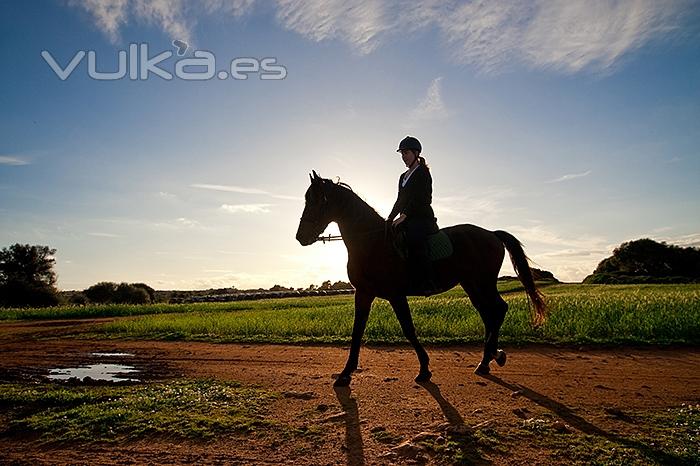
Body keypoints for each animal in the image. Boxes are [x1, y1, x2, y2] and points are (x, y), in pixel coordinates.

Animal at [296, 171, 548, 386]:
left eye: (317, 200)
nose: (300, 237)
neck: (372, 243)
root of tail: (491, 234)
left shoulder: (396, 295)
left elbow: (408, 329)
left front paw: (425, 369)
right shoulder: (364, 293)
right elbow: (357, 331)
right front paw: (345, 374)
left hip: (483, 282)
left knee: (498, 309)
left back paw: (491, 357)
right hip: (472, 284)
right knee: (489, 313)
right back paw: (488, 360)